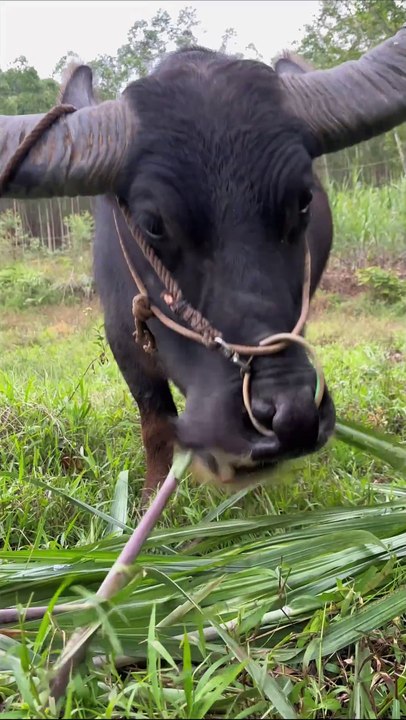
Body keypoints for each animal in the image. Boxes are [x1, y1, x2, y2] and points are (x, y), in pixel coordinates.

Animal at [1, 29, 406, 498]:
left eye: (304, 200)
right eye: (153, 223)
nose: (291, 415)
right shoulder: (122, 337)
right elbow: (156, 427)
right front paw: (150, 499)